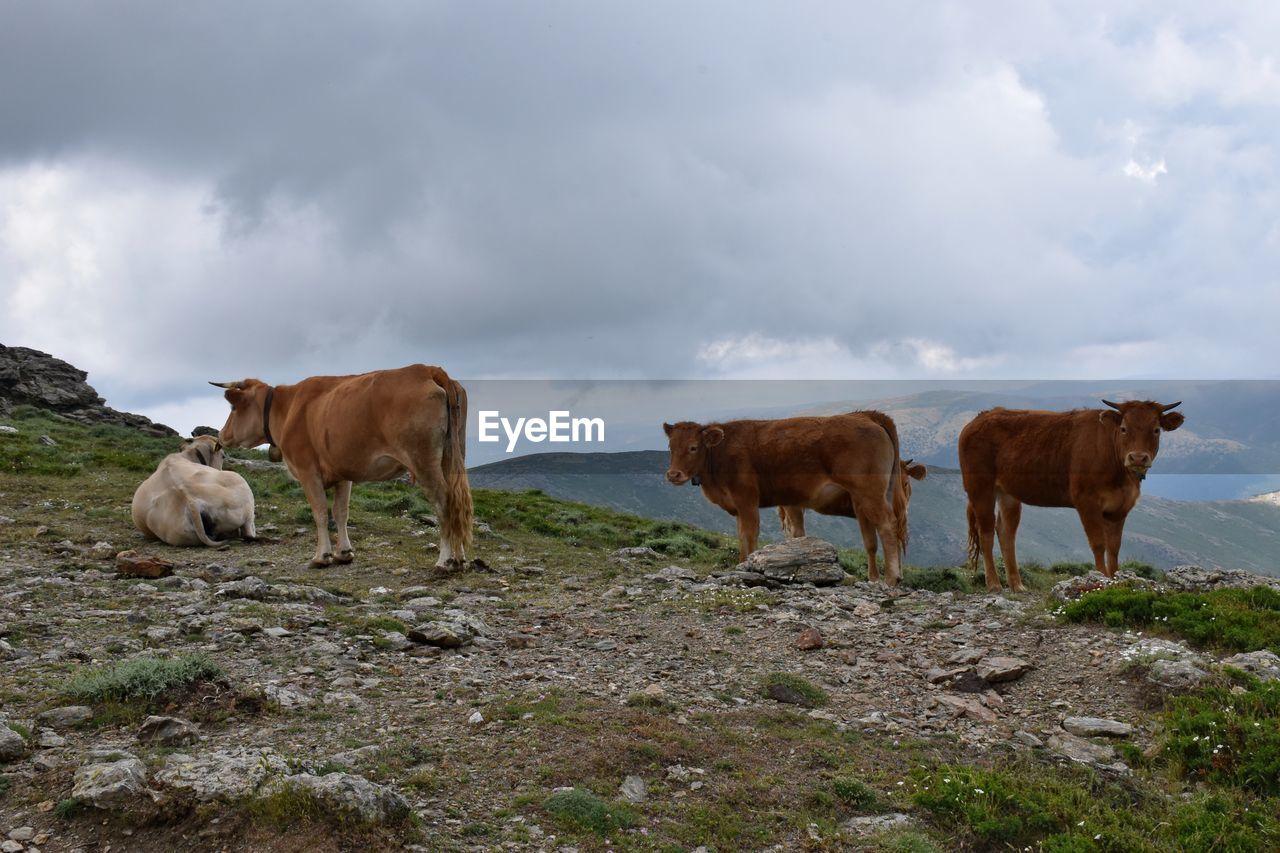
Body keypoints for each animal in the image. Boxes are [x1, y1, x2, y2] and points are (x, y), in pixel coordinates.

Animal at [212, 363, 473, 568]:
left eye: (234, 408)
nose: (221, 435)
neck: (287, 409)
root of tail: (427, 369)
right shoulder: (342, 473)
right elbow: (340, 512)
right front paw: (344, 552)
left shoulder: (307, 471)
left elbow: (319, 511)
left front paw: (322, 556)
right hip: (453, 455)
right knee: (458, 503)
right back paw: (460, 558)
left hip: (423, 460)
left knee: (444, 500)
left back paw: (444, 560)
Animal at [665, 412, 906, 584]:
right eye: (670, 447)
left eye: (693, 447)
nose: (673, 474)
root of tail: (866, 416)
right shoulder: (739, 507)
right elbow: (741, 536)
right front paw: (741, 564)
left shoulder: (747, 500)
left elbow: (750, 535)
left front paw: (748, 567)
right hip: (865, 497)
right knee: (871, 538)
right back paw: (874, 578)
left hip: (870, 493)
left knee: (887, 524)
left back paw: (891, 578)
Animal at [773, 455, 926, 581]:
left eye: (906, 483)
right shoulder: (863, 510)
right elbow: (871, 544)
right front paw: (874, 578)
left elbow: (895, 544)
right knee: (797, 531)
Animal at [957, 394, 1182, 589]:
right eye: (1124, 428)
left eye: (1156, 430)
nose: (1137, 458)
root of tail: (981, 417)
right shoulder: (1087, 502)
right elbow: (1098, 544)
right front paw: (1101, 579)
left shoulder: (1120, 508)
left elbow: (1114, 548)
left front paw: (1116, 579)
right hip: (980, 487)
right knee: (985, 532)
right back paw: (994, 584)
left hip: (1008, 493)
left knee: (1005, 531)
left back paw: (1017, 585)